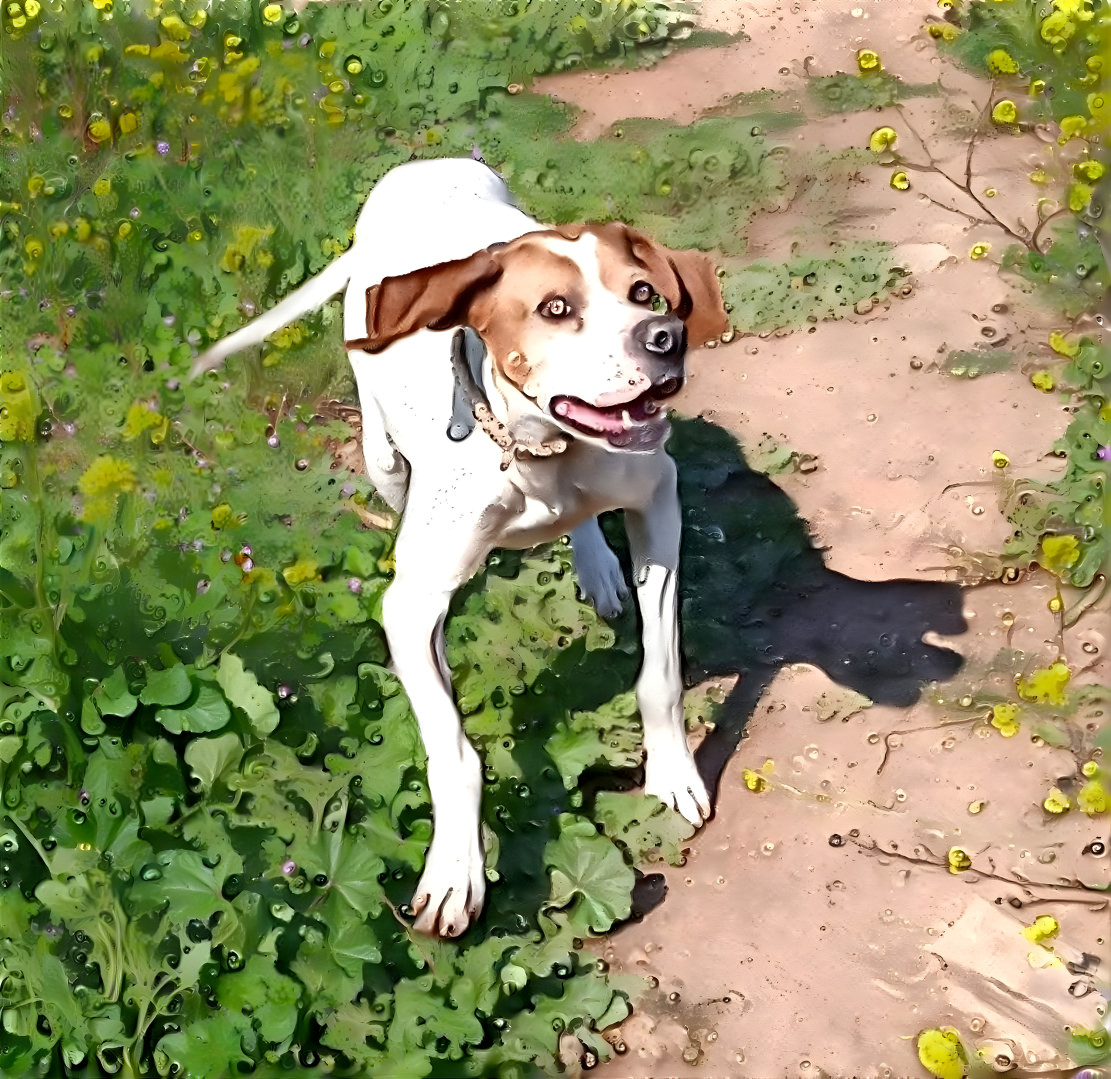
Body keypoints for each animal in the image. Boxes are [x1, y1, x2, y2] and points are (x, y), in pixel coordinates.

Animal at [193, 154, 728, 937]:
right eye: (555, 309)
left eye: (642, 292)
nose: (664, 337)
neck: (538, 455)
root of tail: (418, 169)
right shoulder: (410, 605)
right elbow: (451, 748)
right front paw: (454, 870)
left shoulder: (658, 503)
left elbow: (658, 673)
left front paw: (672, 773)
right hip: (384, 462)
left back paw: (596, 564)